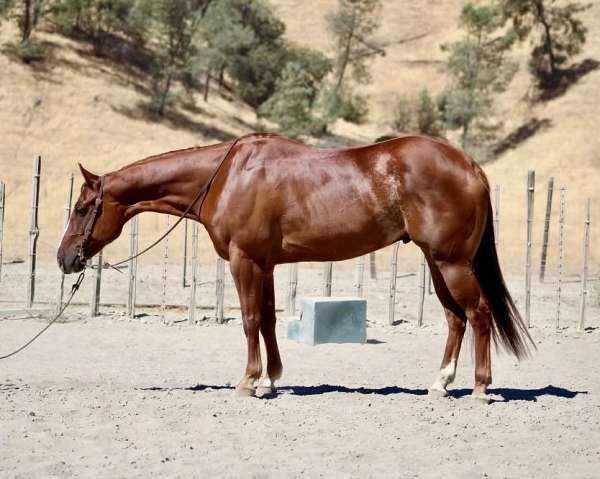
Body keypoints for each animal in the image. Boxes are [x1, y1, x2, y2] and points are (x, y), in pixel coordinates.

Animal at [57, 131, 536, 402]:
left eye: (81, 209)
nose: (65, 258)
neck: (226, 176)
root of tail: (469, 165)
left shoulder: (245, 260)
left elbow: (250, 320)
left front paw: (248, 382)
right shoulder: (265, 265)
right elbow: (268, 320)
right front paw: (272, 379)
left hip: (451, 262)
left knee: (478, 314)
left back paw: (480, 389)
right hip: (437, 262)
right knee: (456, 318)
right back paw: (440, 384)